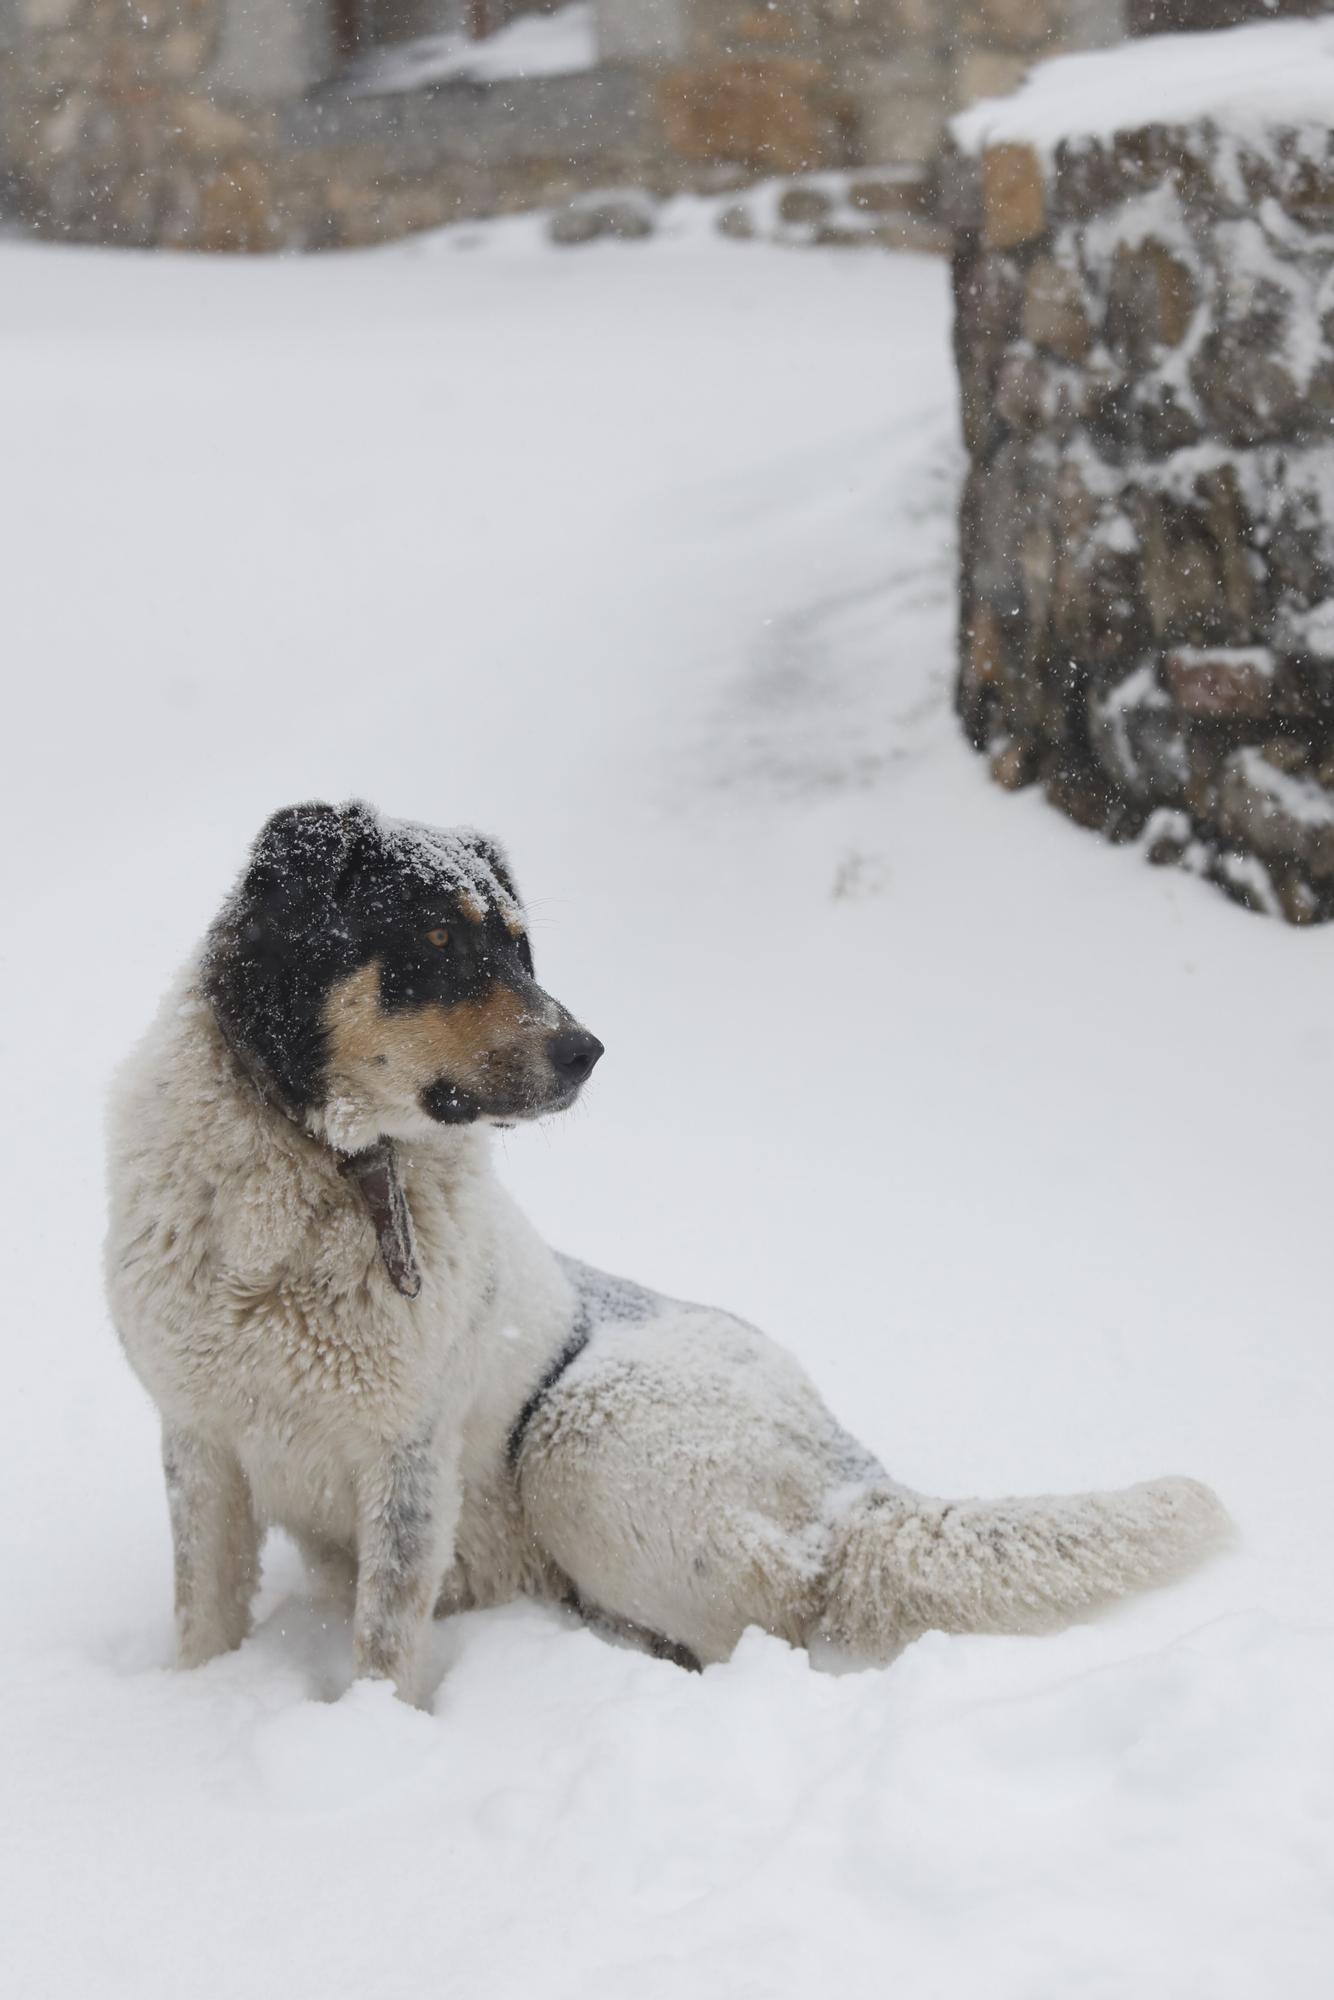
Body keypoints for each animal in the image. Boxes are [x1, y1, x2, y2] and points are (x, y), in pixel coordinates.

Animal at [104, 800, 1232, 1704]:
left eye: (520, 949)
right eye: (435, 943)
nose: (586, 1051)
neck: (319, 1172)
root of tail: (855, 1481)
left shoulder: (408, 1453)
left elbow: (384, 1639)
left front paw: (374, 1738)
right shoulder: (200, 1438)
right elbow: (204, 1612)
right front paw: (195, 1701)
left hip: (581, 1439)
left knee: (781, 1606)